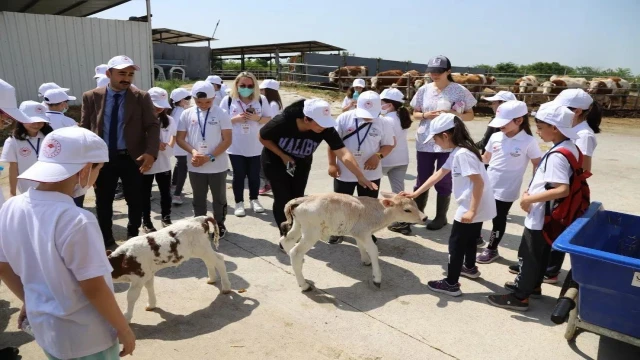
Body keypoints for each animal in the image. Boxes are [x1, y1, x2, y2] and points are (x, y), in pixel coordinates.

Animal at [278, 193, 424, 292]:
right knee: (295, 252)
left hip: (298, 226)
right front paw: (377, 278)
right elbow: (373, 250)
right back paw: (304, 285)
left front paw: (366, 261)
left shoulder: (358, 233)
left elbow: (361, 246)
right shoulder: (364, 232)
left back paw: (299, 265)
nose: (424, 217)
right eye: (407, 210)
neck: (376, 211)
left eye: (416, 205)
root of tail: (301, 199)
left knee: (286, 241)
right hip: (311, 233)